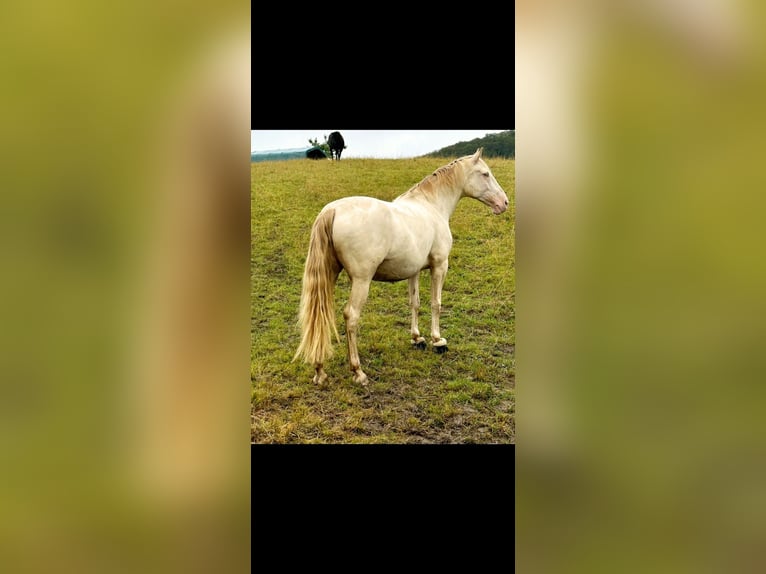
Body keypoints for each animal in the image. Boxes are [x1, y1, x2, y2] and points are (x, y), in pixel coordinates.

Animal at [294, 148, 510, 388]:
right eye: (485, 174)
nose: (504, 203)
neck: (431, 206)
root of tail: (332, 210)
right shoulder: (439, 266)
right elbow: (436, 303)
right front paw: (438, 341)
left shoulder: (413, 271)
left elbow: (414, 303)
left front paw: (417, 338)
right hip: (361, 281)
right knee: (351, 316)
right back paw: (358, 371)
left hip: (329, 276)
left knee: (321, 314)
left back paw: (320, 371)